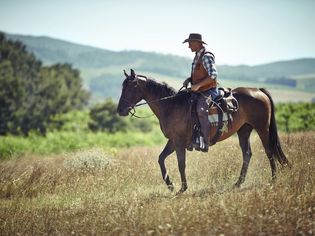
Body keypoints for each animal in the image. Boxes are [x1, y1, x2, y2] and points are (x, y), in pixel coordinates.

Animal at [117, 68, 290, 194]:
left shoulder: (179, 142)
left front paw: (182, 188)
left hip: (262, 128)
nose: (120, 110)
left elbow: (181, 164)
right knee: (247, 154)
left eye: (130, 87)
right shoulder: (173, 141)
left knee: (269, 151)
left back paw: (273, 179)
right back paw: (237, 183)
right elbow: (161, 159)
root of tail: (258, 90)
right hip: (244, 131)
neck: (172, 106)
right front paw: (171, 185)